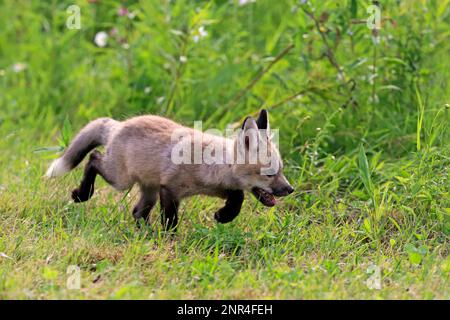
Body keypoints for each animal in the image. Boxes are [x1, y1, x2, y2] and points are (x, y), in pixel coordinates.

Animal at [44, 110, 292, 230]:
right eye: (270, 174)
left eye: (281, 171)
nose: (290, 189)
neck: (212, 165)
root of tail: (119, 125)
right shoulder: (170, 189)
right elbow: (171, 220)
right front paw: (170, 239)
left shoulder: (219, 188)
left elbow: (238, 196)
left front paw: (224, 216)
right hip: (121, 180)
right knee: (94, 158)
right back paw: (82, 194)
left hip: (149, 191)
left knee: (137, 212)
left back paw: (145, 234)